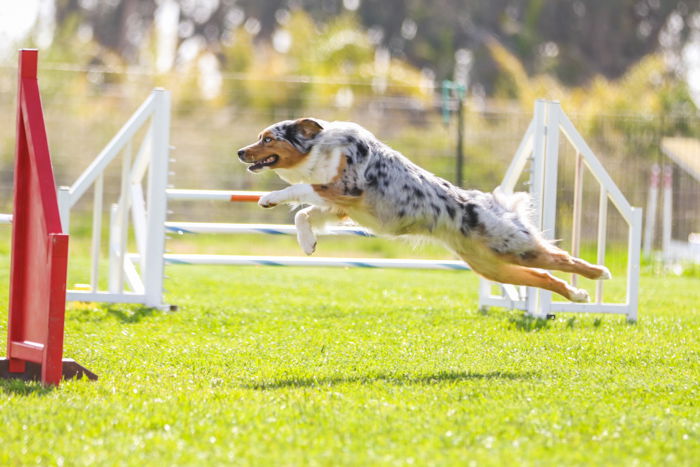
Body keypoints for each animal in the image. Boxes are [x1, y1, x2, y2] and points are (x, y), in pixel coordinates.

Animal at [238, 119, 608, 302]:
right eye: (259, 137)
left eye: (268, 139)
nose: (240, 151)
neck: (320, 148)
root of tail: (492, 203)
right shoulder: (338, 206)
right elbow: (303, 214)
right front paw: (308, 243)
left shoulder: (346, 188)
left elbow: (300, 191)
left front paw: (270, 197)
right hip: (492, 267)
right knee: (544, 276)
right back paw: (577, 295)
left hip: (513, 247)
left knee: (561, 258)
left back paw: (599, 273)